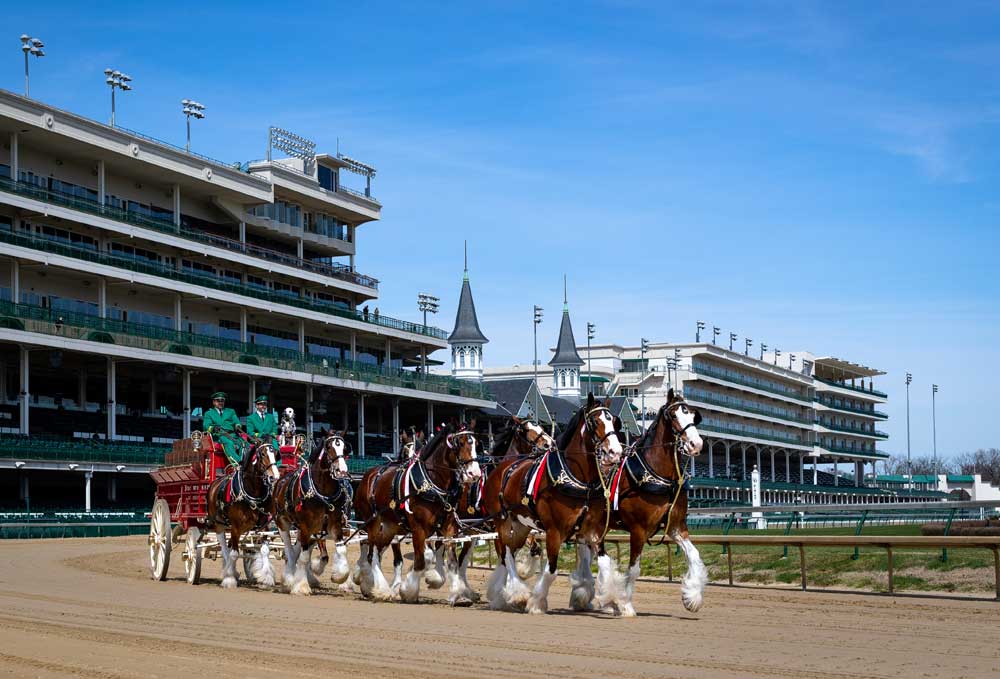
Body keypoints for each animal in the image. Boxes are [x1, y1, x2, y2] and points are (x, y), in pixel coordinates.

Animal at [203, 440, 282, 588]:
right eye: (262, 454)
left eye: (275, 453)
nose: (274, 477)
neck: (253, 493)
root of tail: (214, 483)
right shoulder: (235, 528)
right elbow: (234, 554)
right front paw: (229, 579)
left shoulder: (264, 527)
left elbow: (264, 550)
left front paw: (266, 577)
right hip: (219, 524)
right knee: (224, 548)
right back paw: (228, 572)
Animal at [272, 436, 354, 596]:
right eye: (329, 448)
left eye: (345, 448)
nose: (342, 471)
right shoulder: (307, 526)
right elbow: (304, 557)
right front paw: (301, 586)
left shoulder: (332, 526)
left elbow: (339, 551)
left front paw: (339, 577)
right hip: (282, 522)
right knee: (289, 549)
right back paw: (289, 577)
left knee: (297, 548)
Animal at [354, 422, 482, 604]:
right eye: (460, 443)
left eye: (476, 443)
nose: (474, 474)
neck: (432, 484)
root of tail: (367, 476)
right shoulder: (418, 529)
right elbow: (421, 561)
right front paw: (408, 591)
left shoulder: (449, 527)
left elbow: (452, 562)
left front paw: (455, 591)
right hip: (372, 523)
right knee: (371, 554)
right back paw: (379, 588)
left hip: (390, 527)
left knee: (377, 551)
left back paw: (375, 587)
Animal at [480, 394, 620, 616]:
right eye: (594, 421)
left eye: (613, 420)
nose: (616, 452)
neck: (577, 480)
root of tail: (500, 468)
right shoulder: (554, 531)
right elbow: (552, 570)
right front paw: (536, 602)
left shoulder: (593, 530)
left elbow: (605, 564)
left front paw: (612, 600)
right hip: (502, 521)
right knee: (506, 554)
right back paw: (518, 594)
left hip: (521, 526)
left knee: (508, 553)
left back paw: (503, 594)